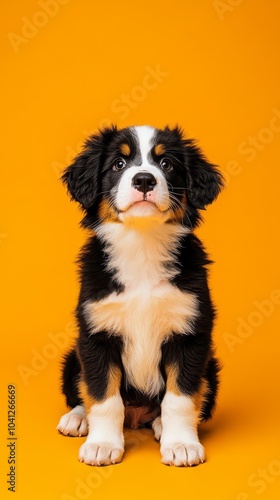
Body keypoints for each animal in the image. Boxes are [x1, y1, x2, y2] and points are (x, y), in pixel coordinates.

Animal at [56, 123, 223, 466]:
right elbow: (102, 396)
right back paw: (77, 419)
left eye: (167, 164)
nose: (144, 179)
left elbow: (181, 399)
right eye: (119, 164)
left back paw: (158, 424)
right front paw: (102, 444)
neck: (142, 245)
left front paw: (181, 444)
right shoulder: (96, 334)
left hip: (211, 367)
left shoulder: (190, 334)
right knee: (84, 392)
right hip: (72, 358)